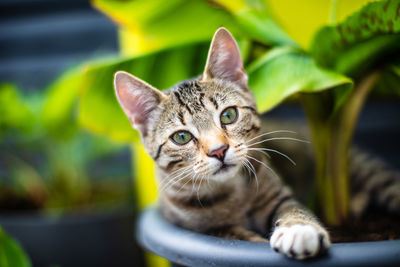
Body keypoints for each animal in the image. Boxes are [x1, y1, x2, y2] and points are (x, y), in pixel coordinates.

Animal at [112, 27, 400, 262]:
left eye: (229, 115)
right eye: (181, 137)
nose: (218, 150)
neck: (231, 192)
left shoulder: (278, 193)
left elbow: (293, 208)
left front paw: (299, 229)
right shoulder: (193, 225)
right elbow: (233, 235)